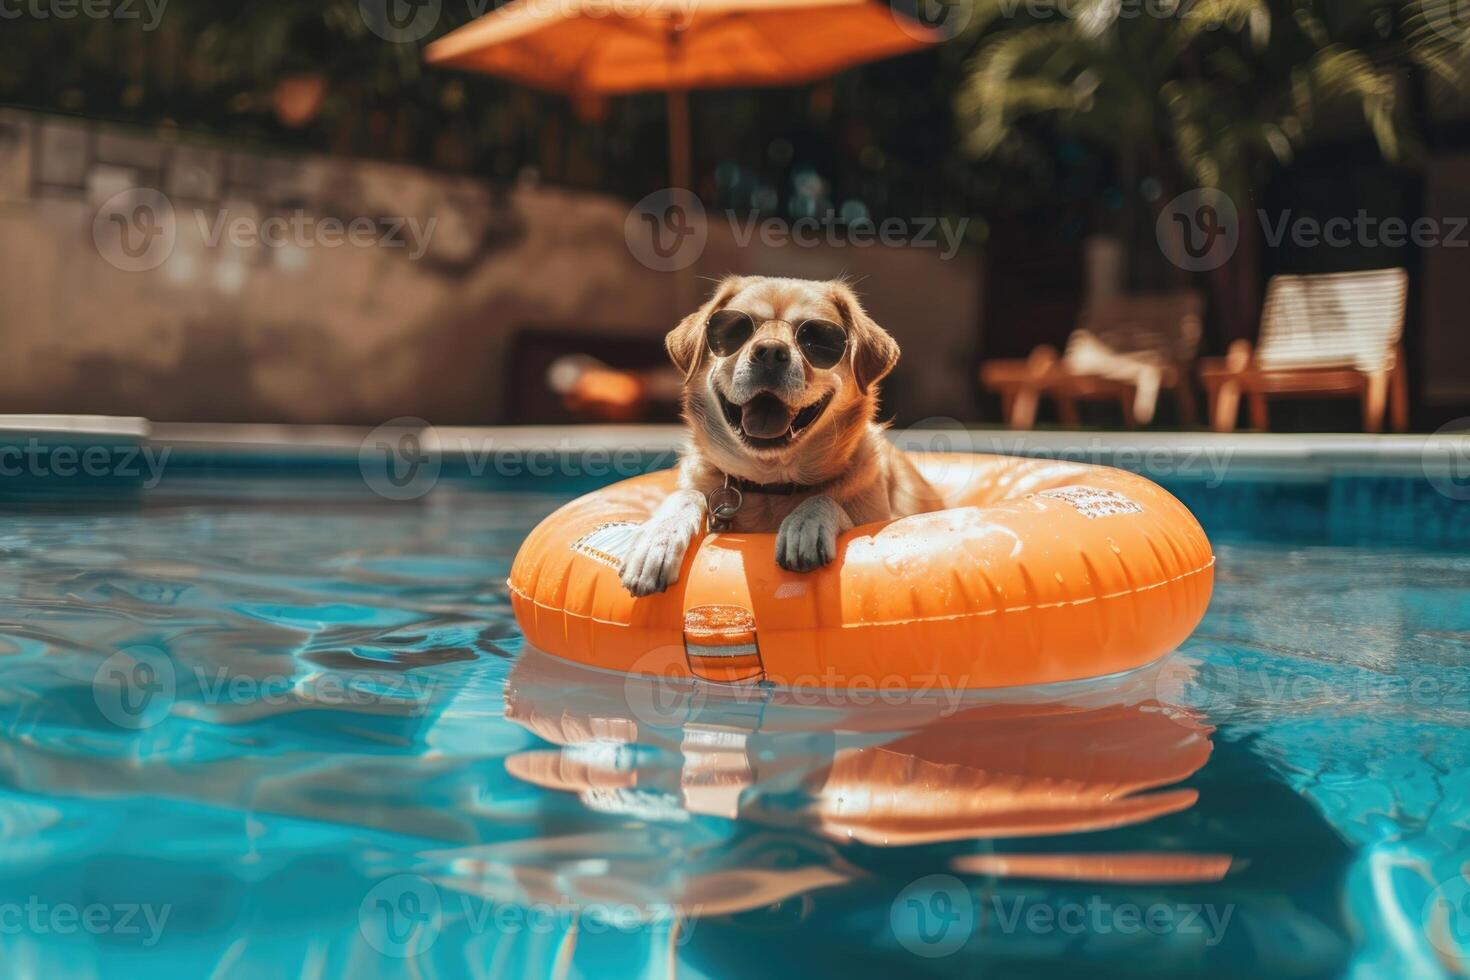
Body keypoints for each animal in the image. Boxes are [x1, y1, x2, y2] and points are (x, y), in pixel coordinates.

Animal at [617, 276, 940, 599]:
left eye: (815, 340)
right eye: (736, 330)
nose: (771, 352)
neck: (771, 482)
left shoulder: (880, 517)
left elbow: (826, 500)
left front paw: (806, 522)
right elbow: (687, 495)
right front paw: (658, 537)